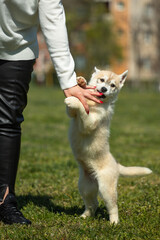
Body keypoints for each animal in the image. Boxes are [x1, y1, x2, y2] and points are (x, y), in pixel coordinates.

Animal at [64, 68, 152, 225]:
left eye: (112, 85)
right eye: (102, 80)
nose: (104, 89)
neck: (94, 103)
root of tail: (116, 165)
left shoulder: (89, 123)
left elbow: (83, 111)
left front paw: (73, 100)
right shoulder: (72, 115)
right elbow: (73, 109)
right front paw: (81, 82)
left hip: (106, 188)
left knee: (112, 206)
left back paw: (114, 223)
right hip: (85, 186)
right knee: (93, 204)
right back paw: (85, 216)